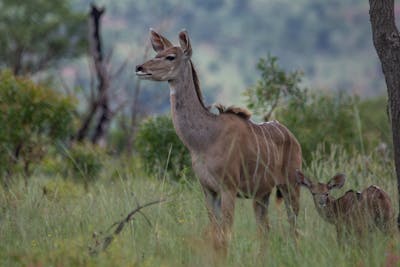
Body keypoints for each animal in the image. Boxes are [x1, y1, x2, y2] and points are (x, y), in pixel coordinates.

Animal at [136, 29, 302, 255]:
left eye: (170, 56)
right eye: (157, 53)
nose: (140, 68)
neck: (204, 140)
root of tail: (293, 139)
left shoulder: (228, 189)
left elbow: (225, 237)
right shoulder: (209, 190)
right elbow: (216, 237)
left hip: (290, 185)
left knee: (294, 227)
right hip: (262, 194)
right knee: (265, 230)